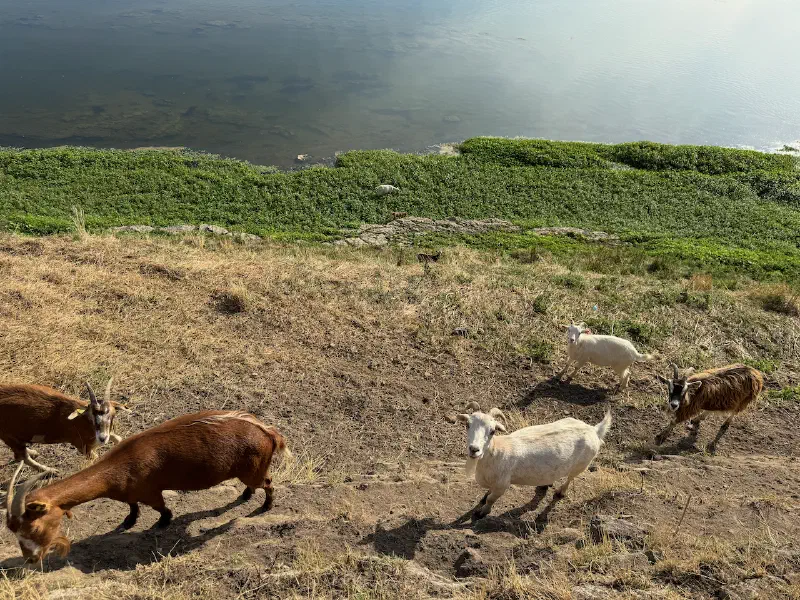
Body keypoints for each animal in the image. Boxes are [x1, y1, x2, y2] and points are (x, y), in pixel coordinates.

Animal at [5, 410, 288, 563]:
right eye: (13, 530)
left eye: (34, 526)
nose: (31, 559)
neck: (117, 468)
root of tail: (268, 432)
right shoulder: (129, 493)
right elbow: (132, 507)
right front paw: (128, 522)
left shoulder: (151, 492)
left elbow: (162, 509)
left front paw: (162, 523)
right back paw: (246, 495)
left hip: (254, 471)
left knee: (268, 483)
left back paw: (266, 505)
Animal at [453, 401, 611, 519]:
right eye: (467, 425)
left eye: (492, 431)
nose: (474, 449)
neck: (496, 452)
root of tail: (594, 429)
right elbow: (488, 494)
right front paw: (483, 499)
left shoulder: (502, 484)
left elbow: (491, 499)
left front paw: (482, 512)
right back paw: (545, 484)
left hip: (581, 465)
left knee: (570, 478)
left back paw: (560, 492)